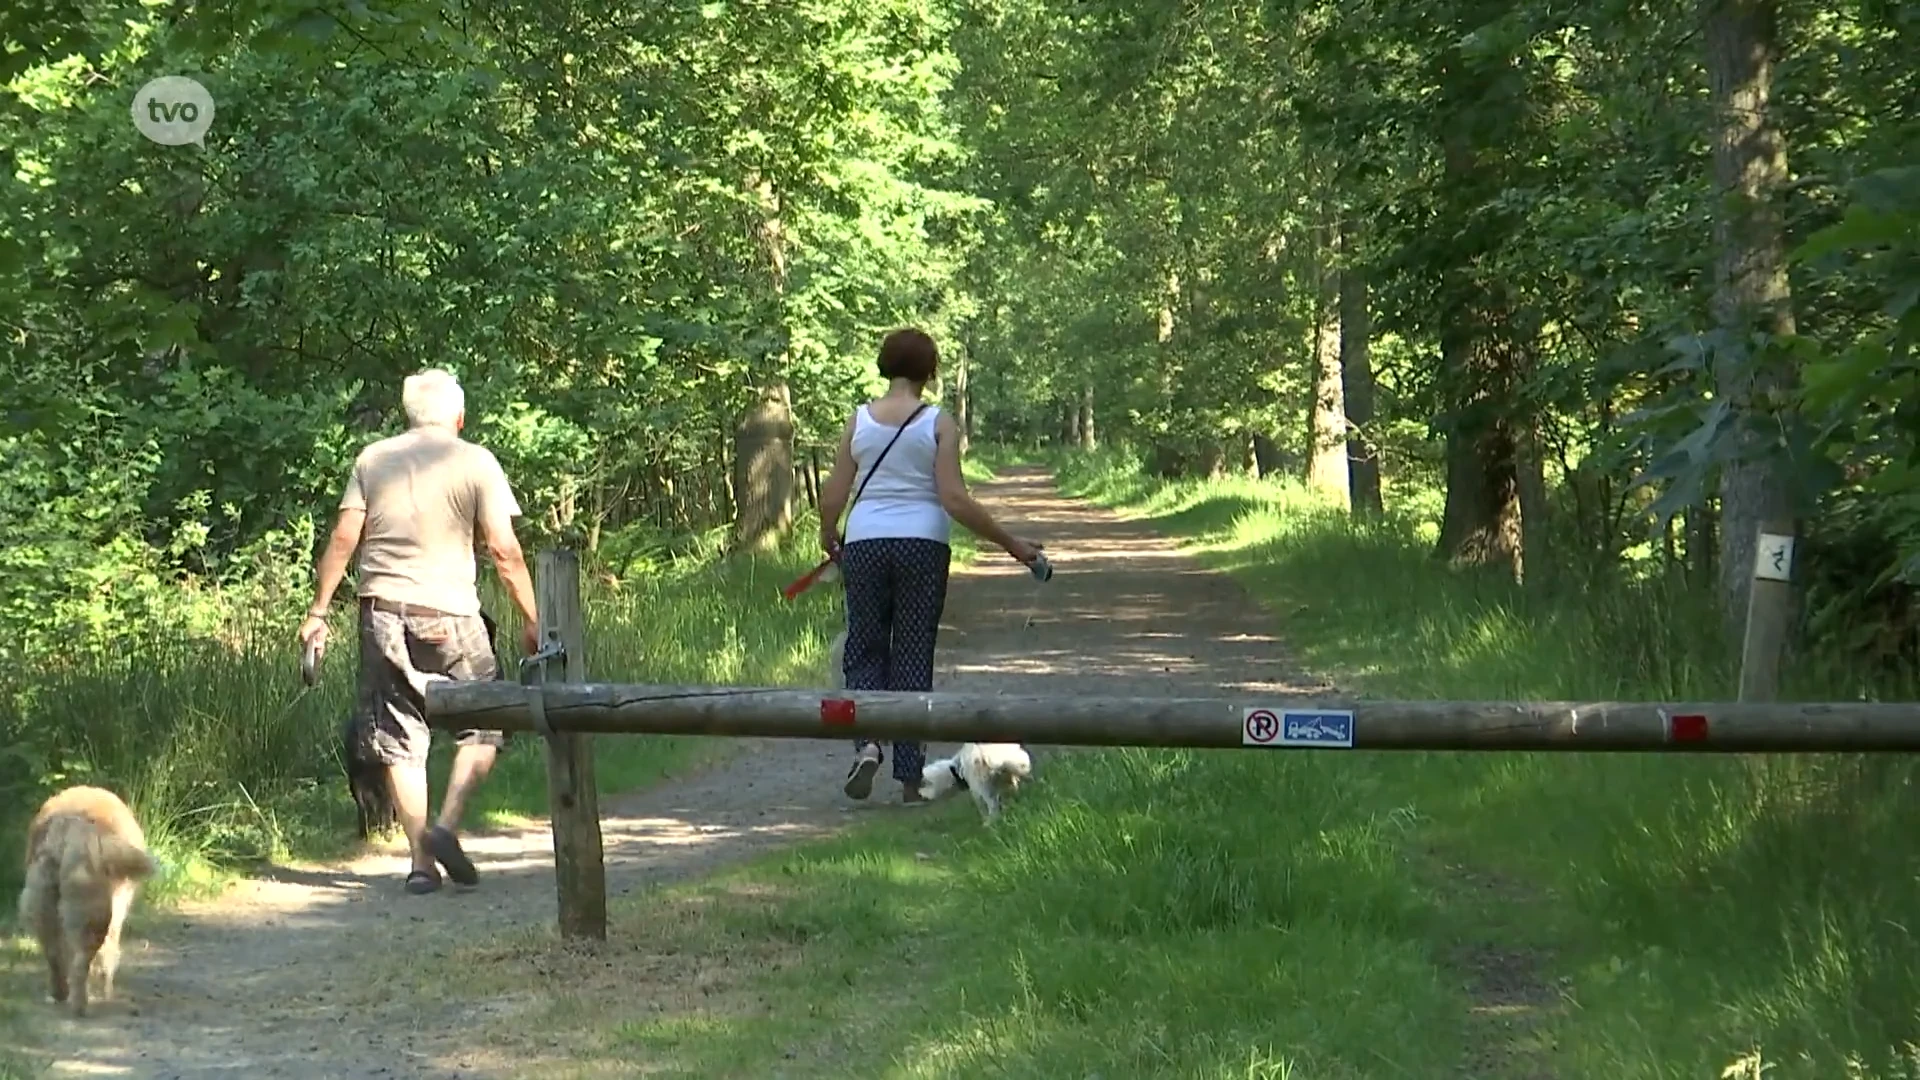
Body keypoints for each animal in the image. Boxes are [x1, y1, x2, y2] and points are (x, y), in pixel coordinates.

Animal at [16, 780, 157, 1006]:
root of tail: (70, 828)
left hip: (42, 905)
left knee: (55, 955)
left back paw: (60, 993)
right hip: (92, 911)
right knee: (81, 963)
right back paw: (83, 1002)